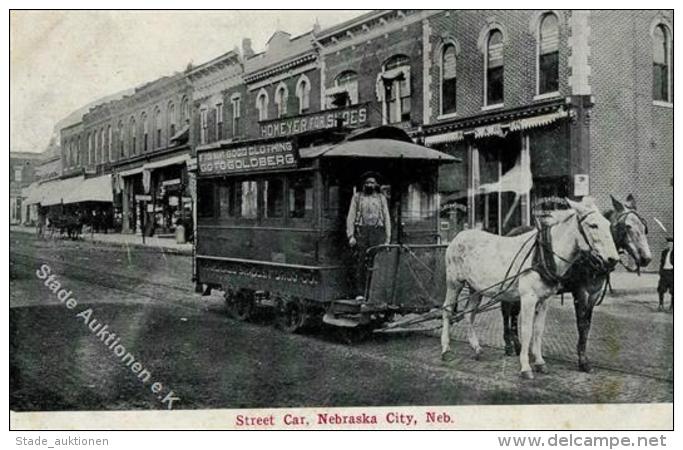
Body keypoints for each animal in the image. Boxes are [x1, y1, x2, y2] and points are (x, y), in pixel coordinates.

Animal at [440, 199, 624, 378]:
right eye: (593, 225)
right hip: (454, 283)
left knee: (468, 313)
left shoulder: (544, 300)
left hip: (475, 288)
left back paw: (476, 348)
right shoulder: (528, 298)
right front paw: (525, 367)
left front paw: (540, 363)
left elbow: (538, 331)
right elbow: (527, 331)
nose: (613, 259)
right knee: (447, 310)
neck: (541, 255)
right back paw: (446, 350)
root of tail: (458, 236)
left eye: (609, 225)